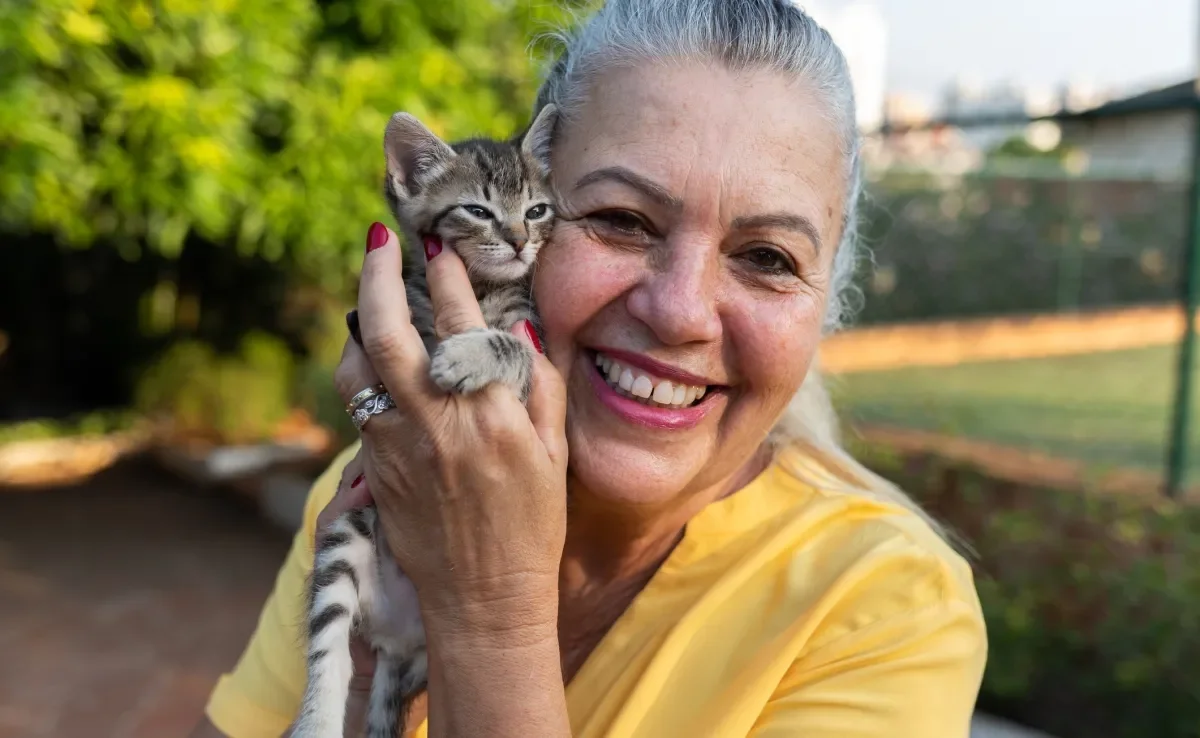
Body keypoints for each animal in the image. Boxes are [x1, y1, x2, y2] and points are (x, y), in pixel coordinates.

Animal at [290, 105, 556, 738]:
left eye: (537, 210)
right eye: (478, 210)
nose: (519, 242)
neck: (479, 292)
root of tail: (398, 638)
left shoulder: (537, 355)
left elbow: (517, 349)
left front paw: (466, 354)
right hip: (347, 533)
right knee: (328, 646)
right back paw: (316, 717)